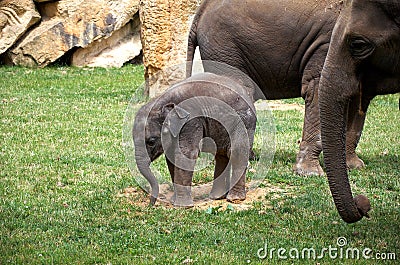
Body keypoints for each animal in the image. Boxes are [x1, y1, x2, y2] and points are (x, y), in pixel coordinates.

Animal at [134, 72, 256, 206]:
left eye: (151, 141)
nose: (151, 204)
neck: (161, 102)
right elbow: (171, 157)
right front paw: (174, 201)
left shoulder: (190, 121)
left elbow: (186, 153)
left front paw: (181, 206)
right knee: (221, 155)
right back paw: (217, 197)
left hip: (244, 121)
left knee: (236, 152)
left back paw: (234, 199)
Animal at [186, 0, 368, 177]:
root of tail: (199, 13)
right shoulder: (327, 42)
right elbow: (317, 89)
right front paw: (311, 174)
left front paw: (353, 166)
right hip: (224, 47)